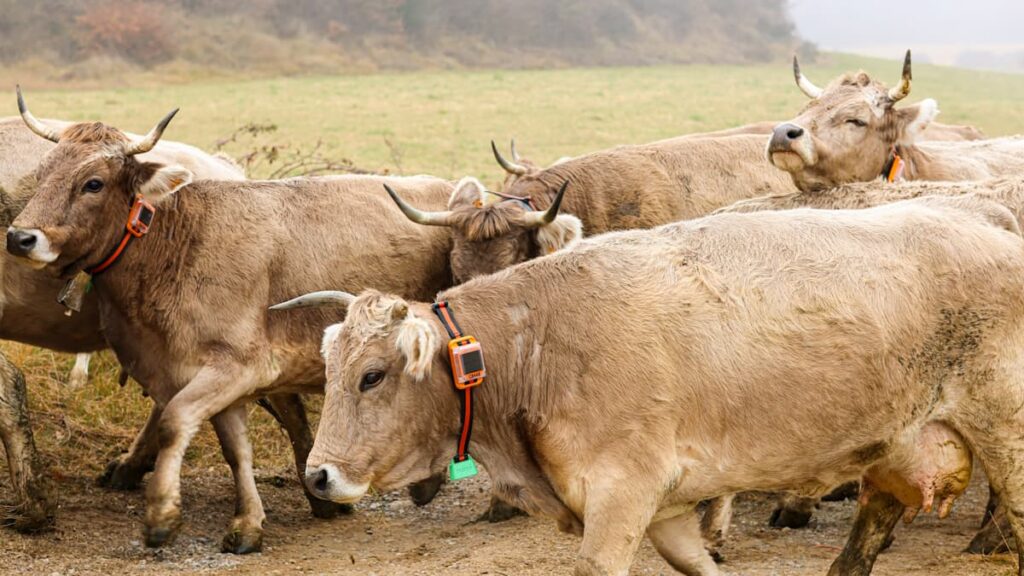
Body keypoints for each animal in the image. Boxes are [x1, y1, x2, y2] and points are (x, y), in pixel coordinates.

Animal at [289, 194, 1024, 576]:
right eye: (330, 373)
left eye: (372, 376)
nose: (318, 476)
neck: (541, 341)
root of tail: (981, 215)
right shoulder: (668, 512)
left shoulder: (620, 500)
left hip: (1006, 440)